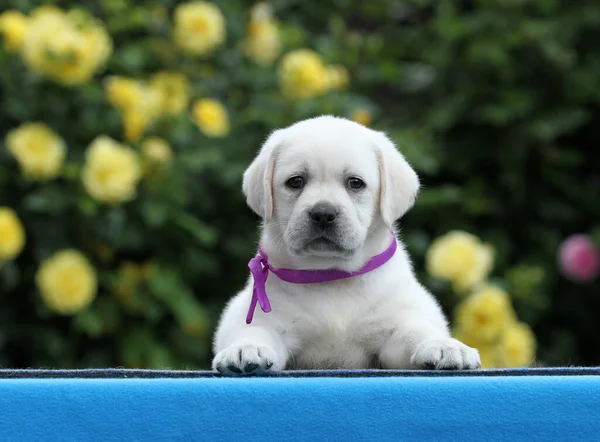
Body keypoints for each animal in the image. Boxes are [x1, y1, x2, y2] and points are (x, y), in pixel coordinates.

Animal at [213, 115, 480, 374]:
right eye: (295, 181)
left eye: (355, 183)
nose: (323, 213)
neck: (332, 277)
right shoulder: (266, 318)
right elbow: (255, 330)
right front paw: (246, 348)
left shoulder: (395, 327)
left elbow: (416, 331)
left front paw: (443, 346)